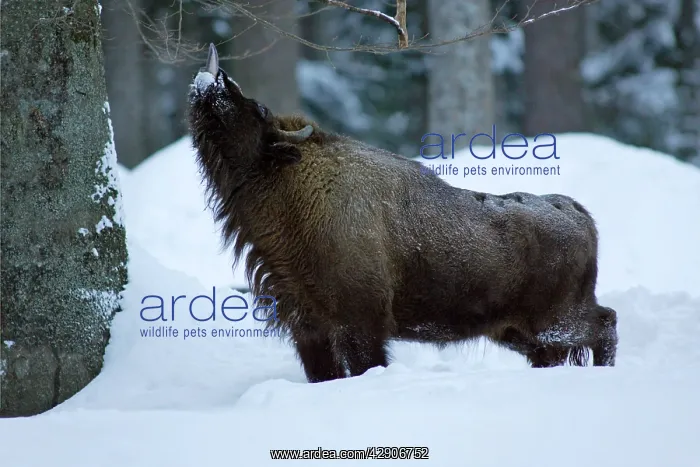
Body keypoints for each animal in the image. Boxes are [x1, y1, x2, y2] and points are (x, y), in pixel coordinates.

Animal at [187, 44, 618, 383]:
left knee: (606, 323)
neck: (289, 179)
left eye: (258, 109)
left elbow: (365, 363)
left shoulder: (361, 326)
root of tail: (577, 212)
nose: (217, 78)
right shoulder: (308, 329)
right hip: (520, 333)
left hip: (556, 323)